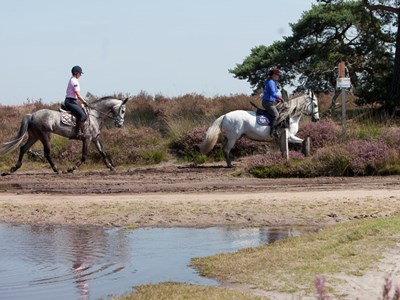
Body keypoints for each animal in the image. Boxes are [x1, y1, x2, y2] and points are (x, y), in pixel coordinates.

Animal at [0, 97, 128, 175]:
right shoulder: (87, 139)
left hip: (34, 136)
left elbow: (102, 152)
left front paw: (111, 167)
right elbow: (84, 156)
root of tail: (31, 115)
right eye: (122, 111)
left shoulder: (95, 138)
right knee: (47, 153)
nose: (120, 124)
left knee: (23, 148)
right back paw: (56, 169)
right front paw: (71, 169)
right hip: (45, 135)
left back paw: (14, 168)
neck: (94, 115)